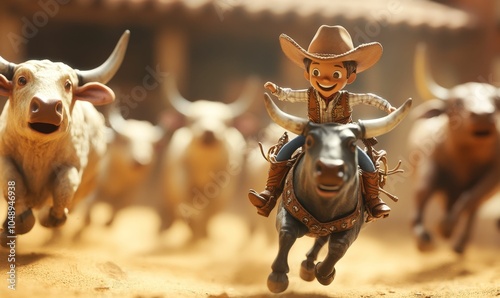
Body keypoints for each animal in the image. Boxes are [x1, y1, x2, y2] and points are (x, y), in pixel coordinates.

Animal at [0, 30, 131, 244]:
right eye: (21, 80)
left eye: (68, 84)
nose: (46, 107)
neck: (37, 152)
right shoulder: (4, 158)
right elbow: (13, 182)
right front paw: (19, 221)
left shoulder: (73, 165)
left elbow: (65, 186)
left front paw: (53, 216)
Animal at [262, 93, 410, 294]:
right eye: (309, 141)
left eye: (352, 144)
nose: (329, 169)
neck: (325, 204)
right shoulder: (287, 208)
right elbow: (287, 233)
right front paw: (277, 276)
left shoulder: (354, 224)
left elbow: (338, 247)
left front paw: (324, 274)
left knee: (322, 240)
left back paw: (309, 266)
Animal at [410, 44, 500, 254]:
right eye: (457, 102)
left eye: (496, 102)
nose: (483, 115)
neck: (464, 159)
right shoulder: (429, 166)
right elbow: (422, 192)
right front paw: (423, 239)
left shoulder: (493, 174)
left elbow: (471, 197)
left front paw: (445, 227)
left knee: (473, 210)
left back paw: (459, 244)